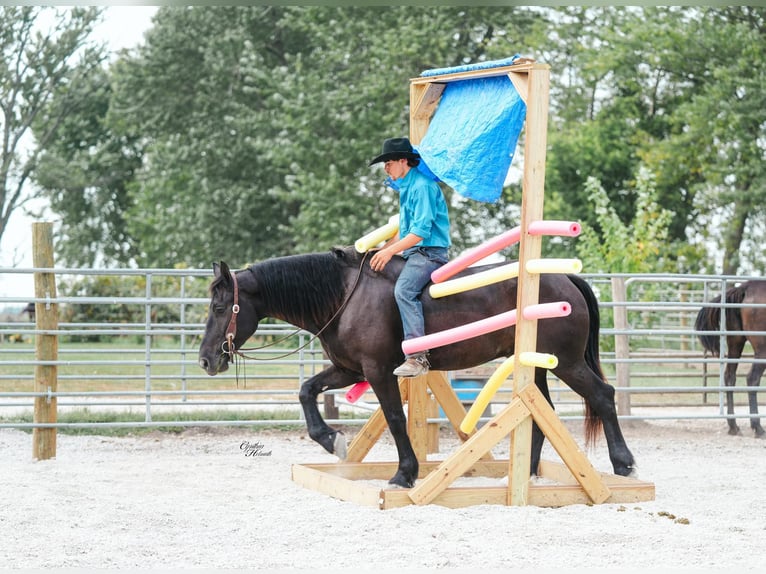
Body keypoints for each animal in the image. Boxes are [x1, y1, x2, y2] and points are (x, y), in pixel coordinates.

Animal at [198, 246, 636, 487]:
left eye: (219, 307)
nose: (206, 359)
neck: (345, 296)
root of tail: (564, 279)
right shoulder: (349, 370)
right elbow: (306, 390)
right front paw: (331, 440)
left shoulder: (377, 371)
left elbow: (395, 418)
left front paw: (403, 474)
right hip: (538, 367)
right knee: (540, 411)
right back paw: (524, 473)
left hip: (567, 364)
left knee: (603, 395)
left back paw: (624, 464)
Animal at [694, 280, 766, 437]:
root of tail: (745, 287)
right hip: (761, 350)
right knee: (752, 379)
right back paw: (757, 427)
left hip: (736, 342)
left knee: (729, 377)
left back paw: (733, 425)